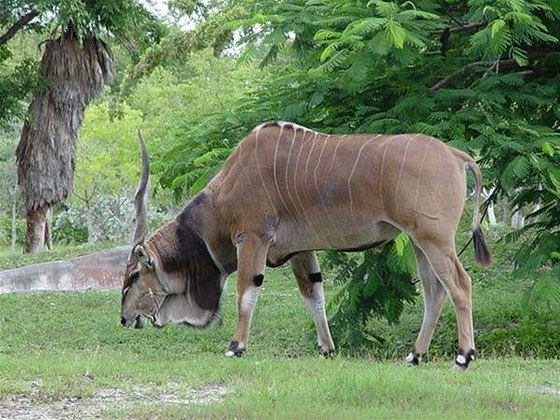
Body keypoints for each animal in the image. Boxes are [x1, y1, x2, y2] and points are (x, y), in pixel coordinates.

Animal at [120, 120, 488, 368]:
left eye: (134, 275)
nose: (124, 318)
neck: (223, 195)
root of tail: (454, 154)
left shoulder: (252, 240)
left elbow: (245, 294)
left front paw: (236, 346)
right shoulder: (300, 252)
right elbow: (314, 295)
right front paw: (327, 349)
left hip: (434, 240)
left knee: (460, 284)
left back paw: (463, 355)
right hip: (418, 242)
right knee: (435, 291)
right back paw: (415, 355)